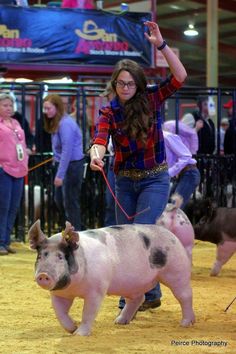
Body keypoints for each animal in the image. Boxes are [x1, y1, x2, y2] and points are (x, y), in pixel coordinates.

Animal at [29, 220, 195, 336]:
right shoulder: (59, 294)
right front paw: (72, 329)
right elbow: (60, 313)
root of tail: (171, 235)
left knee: (185, 295)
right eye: (40, 256)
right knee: (137, 298)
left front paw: (79, 334)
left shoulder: (97, 290)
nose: (43, 275)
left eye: (60, 257)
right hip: (132, 284)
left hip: (176, 270)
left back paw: (186, 324)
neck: (74, 288)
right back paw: (119, 322)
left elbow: (88, 313)